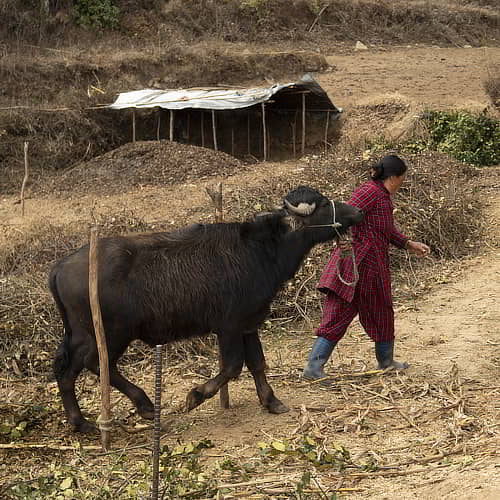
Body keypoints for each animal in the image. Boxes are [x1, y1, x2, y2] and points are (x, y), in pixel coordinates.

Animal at [48, 186, 364, 432]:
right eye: (322, 204)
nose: (357, 212)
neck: (260, 251)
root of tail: (60, 266)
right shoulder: (229, 326)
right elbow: (233, 366)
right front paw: (196, 395)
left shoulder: (249, 323)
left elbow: (257, 363)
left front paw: (271, 401)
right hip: (113, 334)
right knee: (97, 364)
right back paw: (146, 405)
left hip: (80, 334)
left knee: (65, 369)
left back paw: (81, 422)